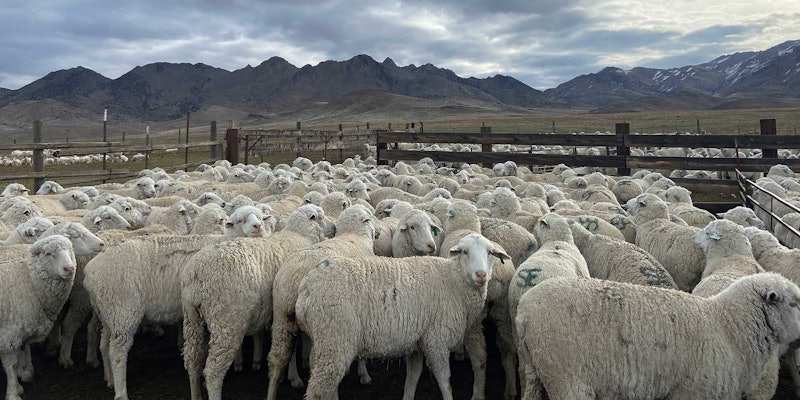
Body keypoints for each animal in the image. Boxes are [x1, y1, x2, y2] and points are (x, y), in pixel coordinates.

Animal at [0, 235, 76, 400]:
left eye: (70, 249)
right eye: (48, 253)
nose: (69, 269)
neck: (29, 279)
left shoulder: (21, 328)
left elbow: (21, 352)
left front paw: (21, 381)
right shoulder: (9, 332)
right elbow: (11, 365)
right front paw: (13, 393)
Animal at [180, 204, 338, 400]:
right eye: (320, 217)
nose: (335, 228)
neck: (300, 235)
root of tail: (197, 273)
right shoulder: (286, 310)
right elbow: (291, 348)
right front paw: (294, 377)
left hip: (191, 318)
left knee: (192, 360)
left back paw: (195, 393)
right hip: (226, 321)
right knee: (213, 371)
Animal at [267, 205, 380, 399]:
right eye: (371, 217)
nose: (379, 232)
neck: (354, 236)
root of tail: (293, 278)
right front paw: (364, 374)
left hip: (282, 315)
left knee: (278, 358)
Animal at [295, 233, 510, 400]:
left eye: (490, 253)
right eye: (465, 252)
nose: (481, 275)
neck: (454, 280)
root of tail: (306, 287)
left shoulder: (417, 342)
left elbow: (412, 377)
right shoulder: (436, 341)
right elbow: (445, 381)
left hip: (325, 341)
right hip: (335, 339)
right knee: (319, 389)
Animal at [515, 273, 800, 400]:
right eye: (795, 303)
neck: (728, 327)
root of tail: (523, 311)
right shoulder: (691, 393)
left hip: (537, 370)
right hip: (567, 378)